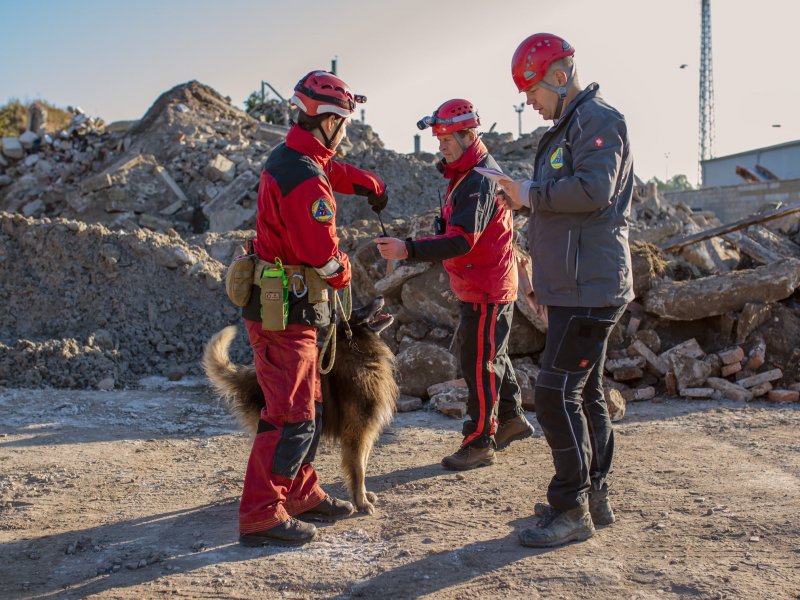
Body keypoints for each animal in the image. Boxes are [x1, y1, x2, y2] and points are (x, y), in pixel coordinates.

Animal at [203, 298, 396, 512]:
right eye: (360, 310)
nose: (379, 297)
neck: (358, 347)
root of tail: (250, 376)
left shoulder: (366, 432)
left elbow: (363, 463)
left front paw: (365, 496)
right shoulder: (357, 433)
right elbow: (359, 470)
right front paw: (361, 502)